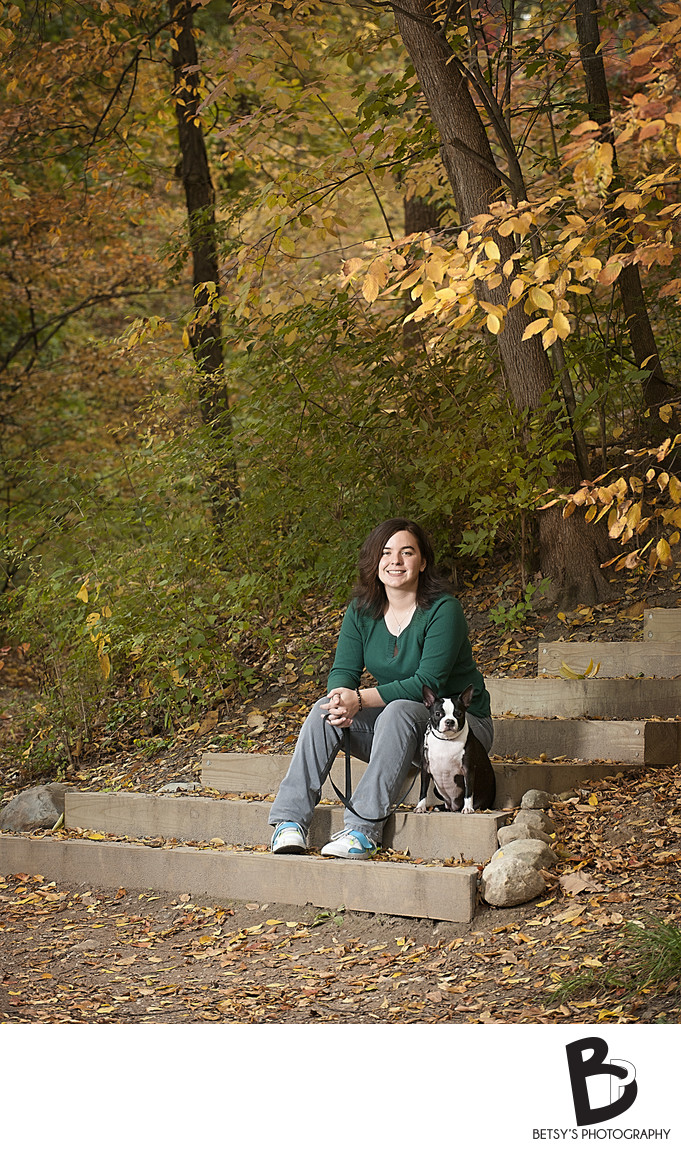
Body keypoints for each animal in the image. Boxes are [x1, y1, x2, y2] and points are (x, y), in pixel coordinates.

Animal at [413, 684, 493, 813]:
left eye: (459, 714)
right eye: (438, 714)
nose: (449, 721)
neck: (446, 740)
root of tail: (454, 807)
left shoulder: (468, 769)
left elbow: (468, 791)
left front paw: (468, 808)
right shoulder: (425, 768)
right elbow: (423, 790)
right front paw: (420, 806)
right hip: (436, 790)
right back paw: (439, 807)